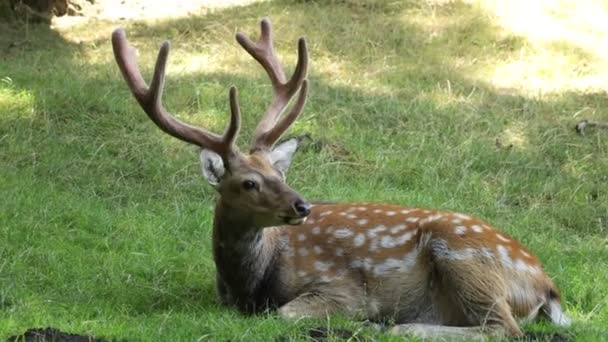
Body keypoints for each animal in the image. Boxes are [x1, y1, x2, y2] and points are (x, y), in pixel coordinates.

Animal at [111, 18, 572, 340]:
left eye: (279, 171)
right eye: (249, 182)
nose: (302, 205)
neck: (248, 285)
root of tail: (546, 286)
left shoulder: (344, 288)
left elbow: (286, 313)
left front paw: (360, 322)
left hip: (465, 258)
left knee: (504, 328)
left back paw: (396, 327)